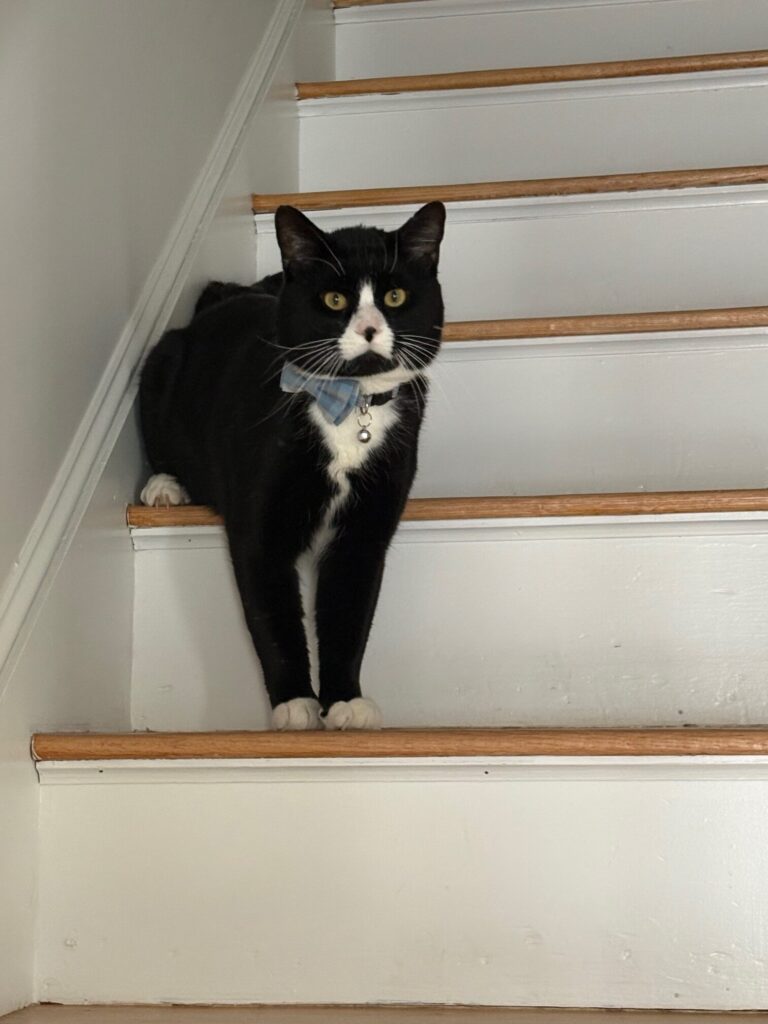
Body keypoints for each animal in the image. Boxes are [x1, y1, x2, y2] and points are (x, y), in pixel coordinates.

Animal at [139, 202, 446, 730]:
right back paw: (164, 486)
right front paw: (296, 704)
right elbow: (271, 614)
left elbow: (350, 614)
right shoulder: (259, 529)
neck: (350, 406)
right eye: (335, 299)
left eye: (395, 295)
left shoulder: (365, 532)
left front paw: (345, 701)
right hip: (159, 367)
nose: (368, 328)